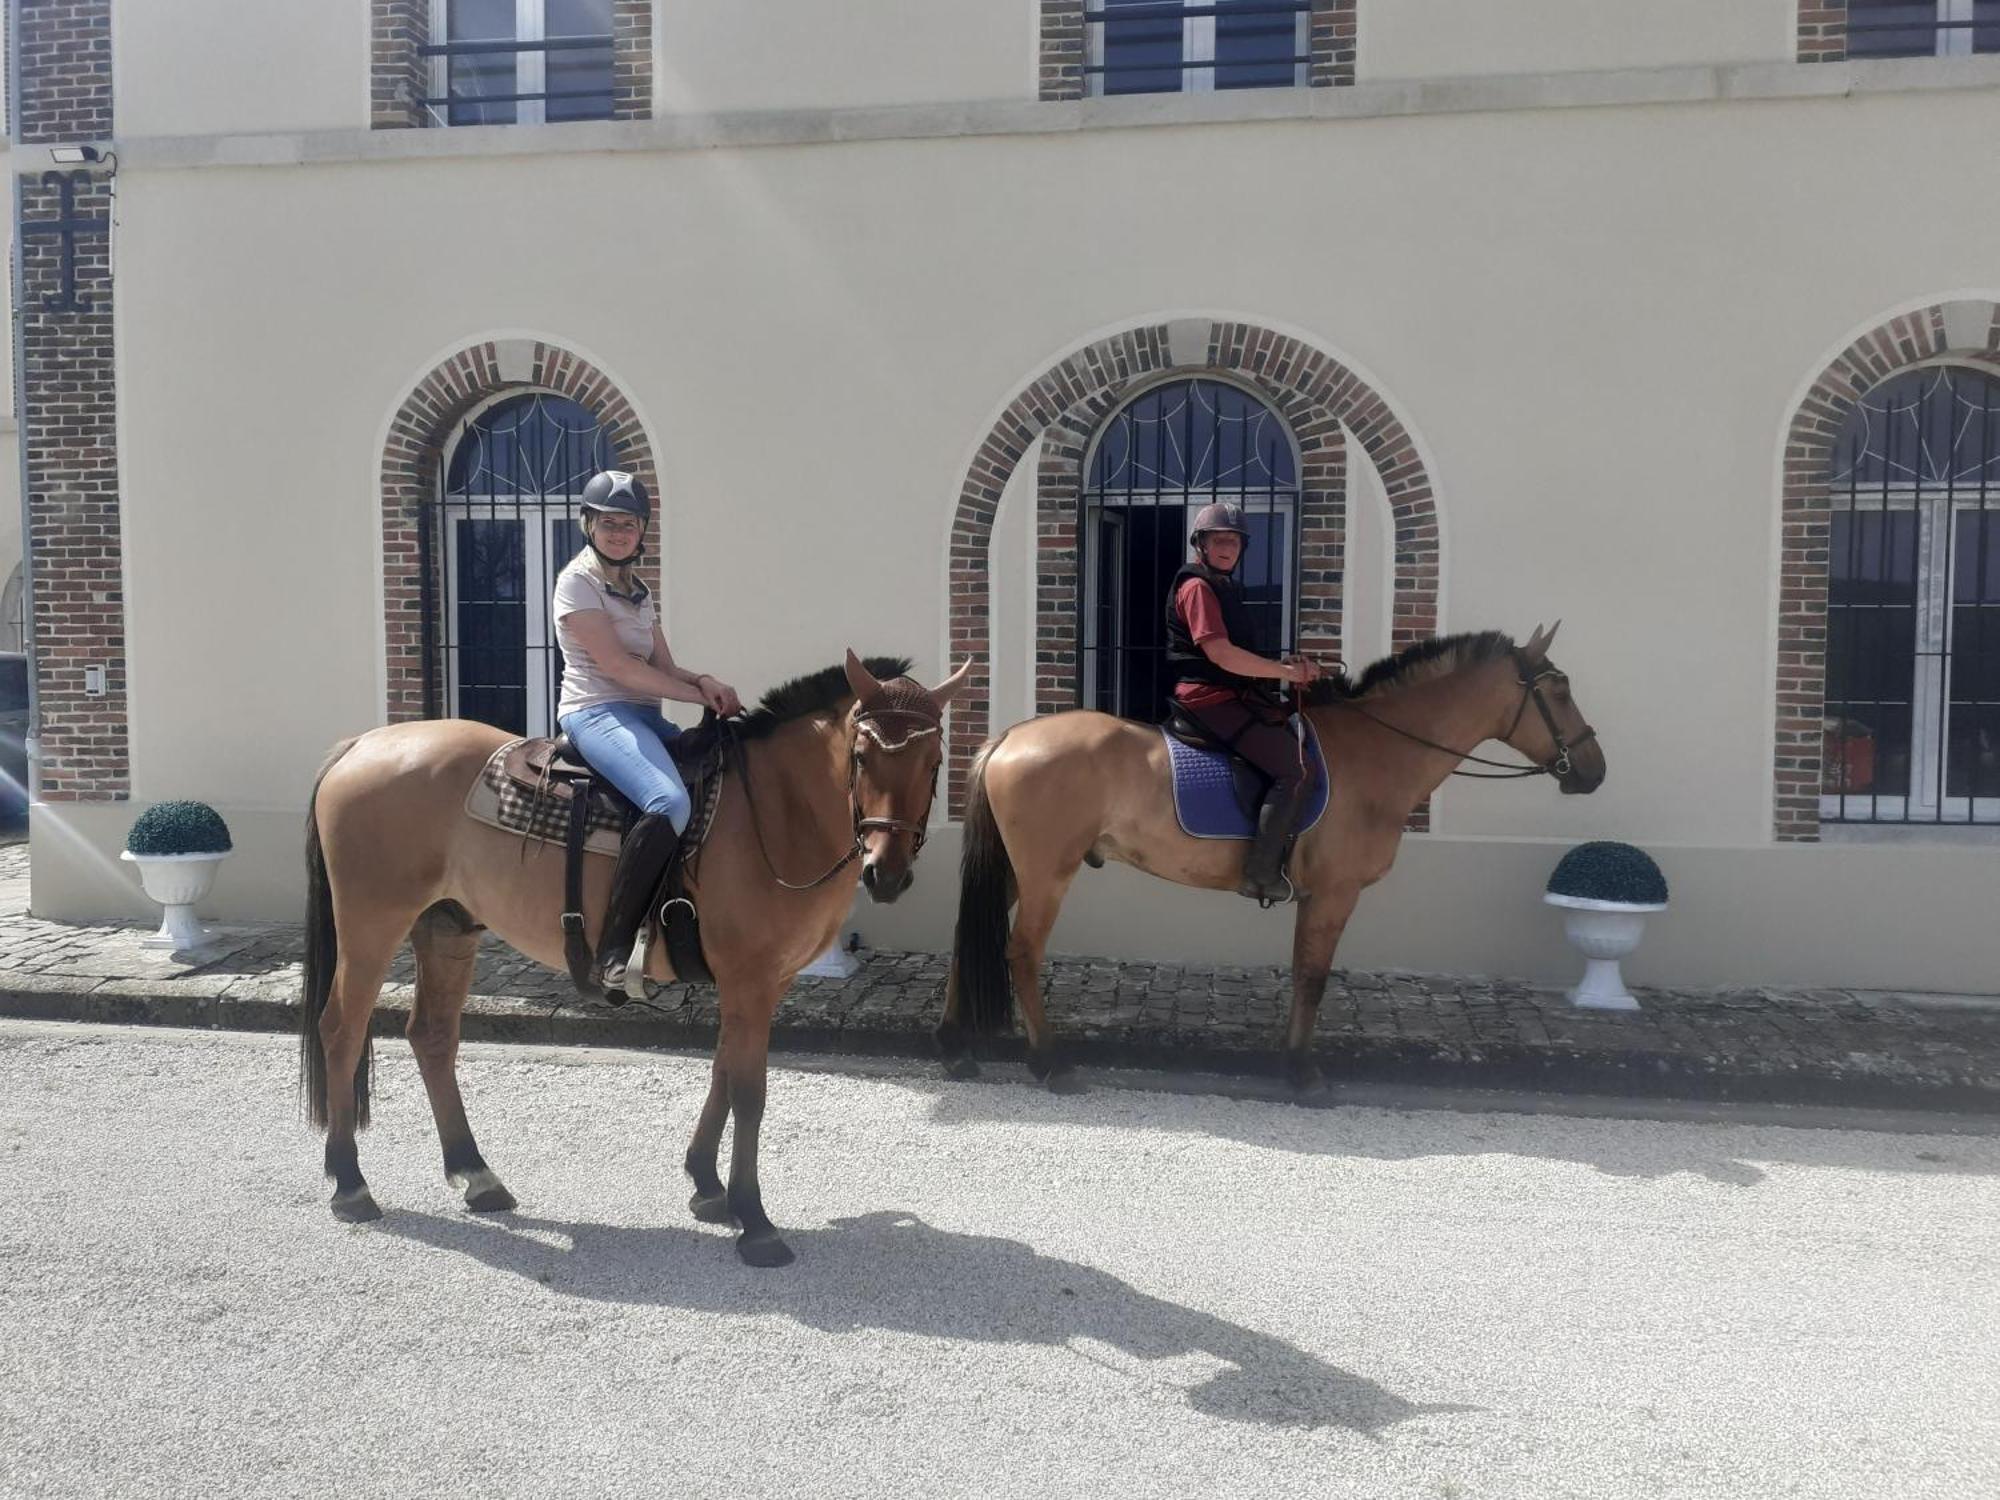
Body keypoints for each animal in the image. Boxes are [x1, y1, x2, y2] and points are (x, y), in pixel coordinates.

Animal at [298, 652, 976, 1264]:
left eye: (934, 761)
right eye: (862, 756)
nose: (886, 871)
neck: (776, 809)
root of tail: (363, 745)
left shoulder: (762, 981)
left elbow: (723, 1071)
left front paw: (706, 1184)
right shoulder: (750, 979)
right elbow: (749, 1089)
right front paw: (754, 1221)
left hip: (448, 929)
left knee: (432, 1037)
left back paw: (476, 1174)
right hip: (372, 924)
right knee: (341, 1029)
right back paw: (350, 1183)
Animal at [940, 624, 1608, 1104]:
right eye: (1559, 689)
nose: (1594, 771)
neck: (1375, 751)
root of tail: (1012, 736)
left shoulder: (1317, 897)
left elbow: (1301, 973)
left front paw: (1289, 1062)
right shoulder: (1336, 894)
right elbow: (1314, 977)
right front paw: (1303, 1072)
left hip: (1012, 870)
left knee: (966, 940)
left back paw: (956, 1049)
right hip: (1047, 873)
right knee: (1022, 952)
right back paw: (1049, 1063)